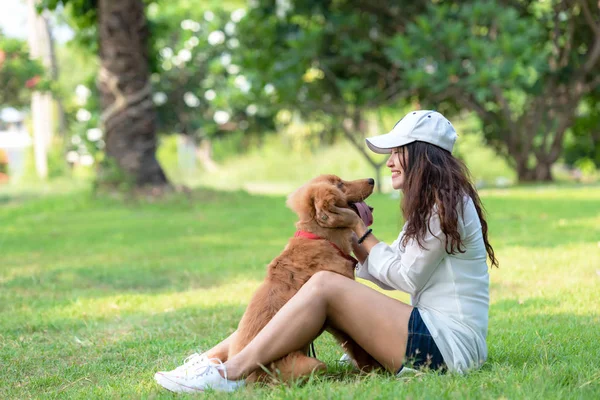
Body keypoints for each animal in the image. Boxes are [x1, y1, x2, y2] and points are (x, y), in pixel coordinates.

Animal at [218, 177, 382, 382]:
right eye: (339, 184)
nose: (372, 179)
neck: (321, 238)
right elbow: (356, 346)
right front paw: (374, 370)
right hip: (312, 365)